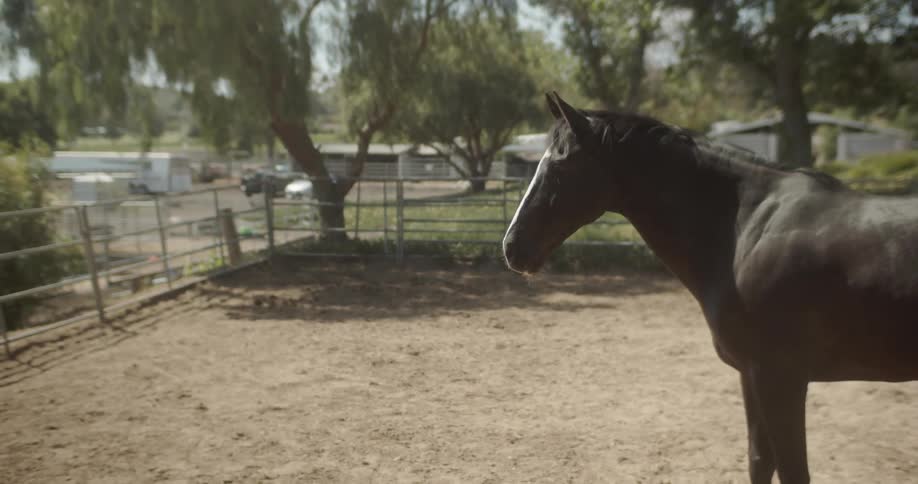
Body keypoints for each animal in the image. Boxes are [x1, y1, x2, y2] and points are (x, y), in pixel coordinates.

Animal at [502, 92, 918, 484]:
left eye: (561, 164)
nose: (512, 246)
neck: (746, 230)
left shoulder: (781, 378)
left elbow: (792, 470)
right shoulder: (752, 377)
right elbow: (759, 462)